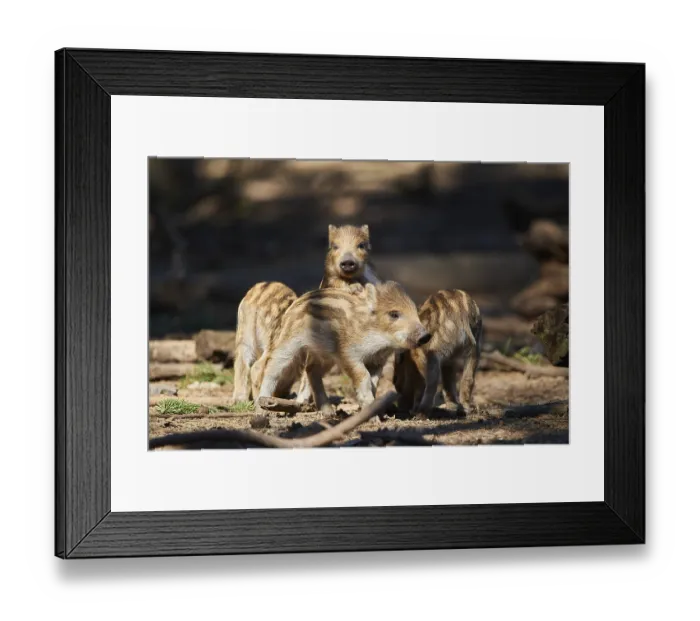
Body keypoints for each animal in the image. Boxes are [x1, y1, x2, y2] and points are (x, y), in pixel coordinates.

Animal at [252, 281, 430, 415]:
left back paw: (328, 412)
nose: (426, 336)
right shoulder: (348, 354)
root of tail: (298, 300)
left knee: (311, 369)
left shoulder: (377, 361)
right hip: (289, 342)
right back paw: (262, 407)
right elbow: (363, 377)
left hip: (325, 356)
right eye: (394, 314)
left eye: (415, 310)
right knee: (272, 368)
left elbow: (373, 383)